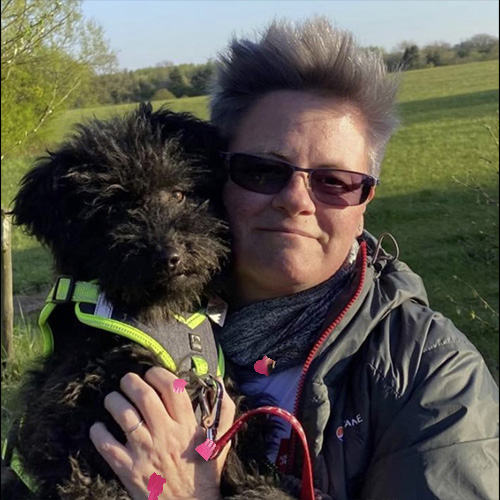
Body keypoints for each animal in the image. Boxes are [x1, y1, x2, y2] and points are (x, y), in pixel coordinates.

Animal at [1, 104, 296, 500]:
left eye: (178, 194)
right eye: (113, 209)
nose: (168, 256)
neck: (164, 314)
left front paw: (263, 488)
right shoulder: (67, 417)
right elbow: (90, 479)